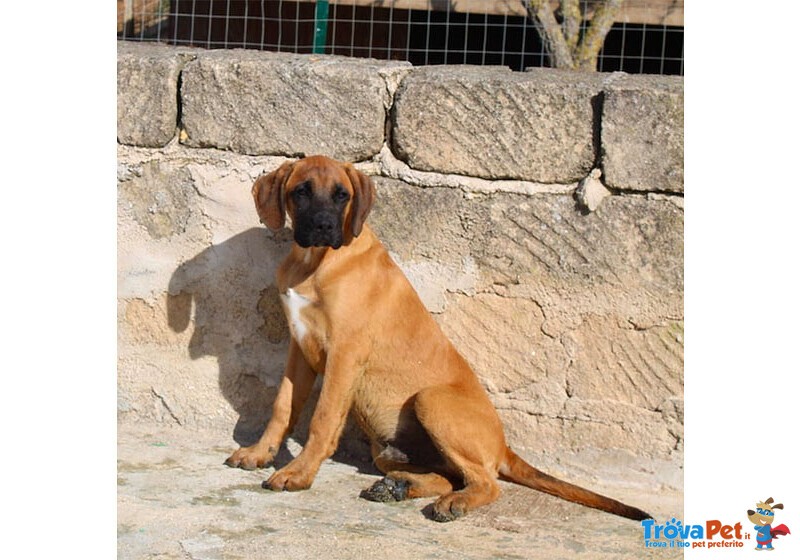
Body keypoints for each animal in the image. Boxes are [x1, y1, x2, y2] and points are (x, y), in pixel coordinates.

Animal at [225, 155, 648, 524]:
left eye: (341, 195)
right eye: (301, 191)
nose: (325, 227)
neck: (314, 263)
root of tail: (503, 447)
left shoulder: (344, 352)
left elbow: (322, 418)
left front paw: (298, 473)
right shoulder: (299, 348)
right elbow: (282, 407)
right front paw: (260, 453)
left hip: (431, 400)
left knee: (486, 482)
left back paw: (453, 503)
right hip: (388, 451)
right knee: (449, 475)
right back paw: (398, 486)